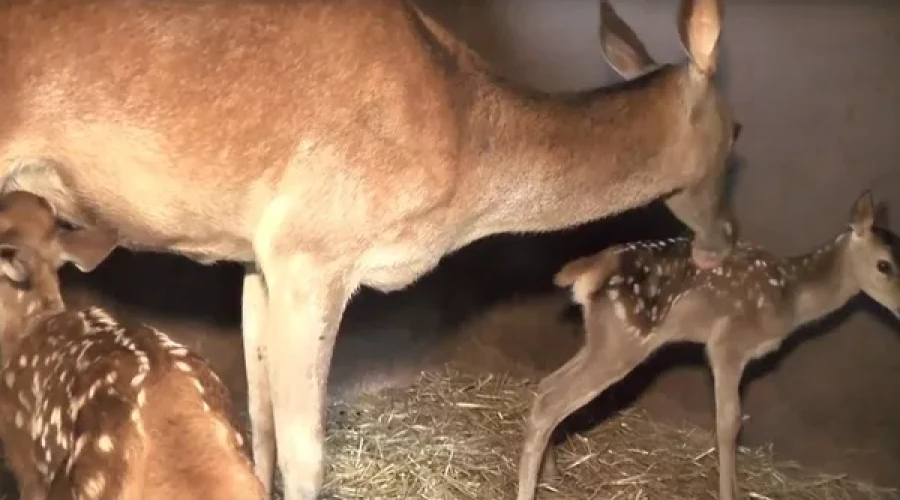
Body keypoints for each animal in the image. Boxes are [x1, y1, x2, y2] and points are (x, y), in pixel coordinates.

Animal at [0, 0, 740, 498]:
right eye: (738, 131)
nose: (727, 238)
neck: (468, 150)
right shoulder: (314, 248)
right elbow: (306, 451)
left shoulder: (258, 257)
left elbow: (259, 416)